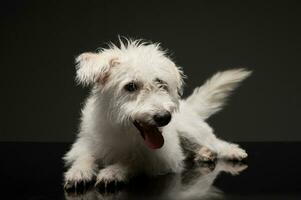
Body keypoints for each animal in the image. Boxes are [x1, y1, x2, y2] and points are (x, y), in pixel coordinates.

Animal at [63, 38, 251, 191]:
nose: (164, 117)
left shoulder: (159, 159)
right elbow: (85, 156)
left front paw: (113, 172)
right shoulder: (84, 144)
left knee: (215, 141)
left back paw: (231, 151)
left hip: (190, 130)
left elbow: (133, 161)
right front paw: (79, 172)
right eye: (130, 86)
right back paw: (204, 154)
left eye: (161, 84)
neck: (123, 132)